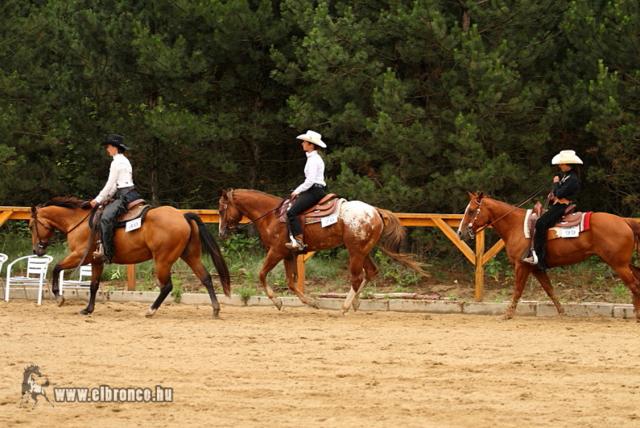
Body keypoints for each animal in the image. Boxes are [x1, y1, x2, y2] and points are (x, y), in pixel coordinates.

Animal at [30, 197, 230, 318]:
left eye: (32, 225)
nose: (36, 250)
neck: (78, 223)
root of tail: (182, 216)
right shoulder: (96, 261)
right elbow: (94, 285)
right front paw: (88, 309)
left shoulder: (81, 256)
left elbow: (56, 267)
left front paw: (59, 297)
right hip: (190, 256)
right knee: (206, 278)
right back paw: (215, 309)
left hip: (162, 261)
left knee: (167, 286)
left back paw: (150, 310)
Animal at [218, 189, 428, 312]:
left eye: (221, 210)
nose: (221, 232)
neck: (273, 216)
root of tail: (375, 211)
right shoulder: (288, 254)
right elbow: (291, 283)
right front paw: (312, 302)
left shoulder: (276, 251)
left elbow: (262, 274)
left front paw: (277, 302)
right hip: (364, 250)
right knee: (370, 272)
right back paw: (355, 302)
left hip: (355, 251)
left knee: (357, 277)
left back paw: (345, 306)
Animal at [456, 192, 640, 320]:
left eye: (471, 211)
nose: (460, 232)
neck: (515, 225)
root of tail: (624, 221)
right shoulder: (536, 268)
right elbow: (549, 289)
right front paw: (562, 312)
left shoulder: (521, 265)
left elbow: (517, 290)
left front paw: (507, 314)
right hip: (625, 263)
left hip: (618, 264)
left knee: (634, 285)